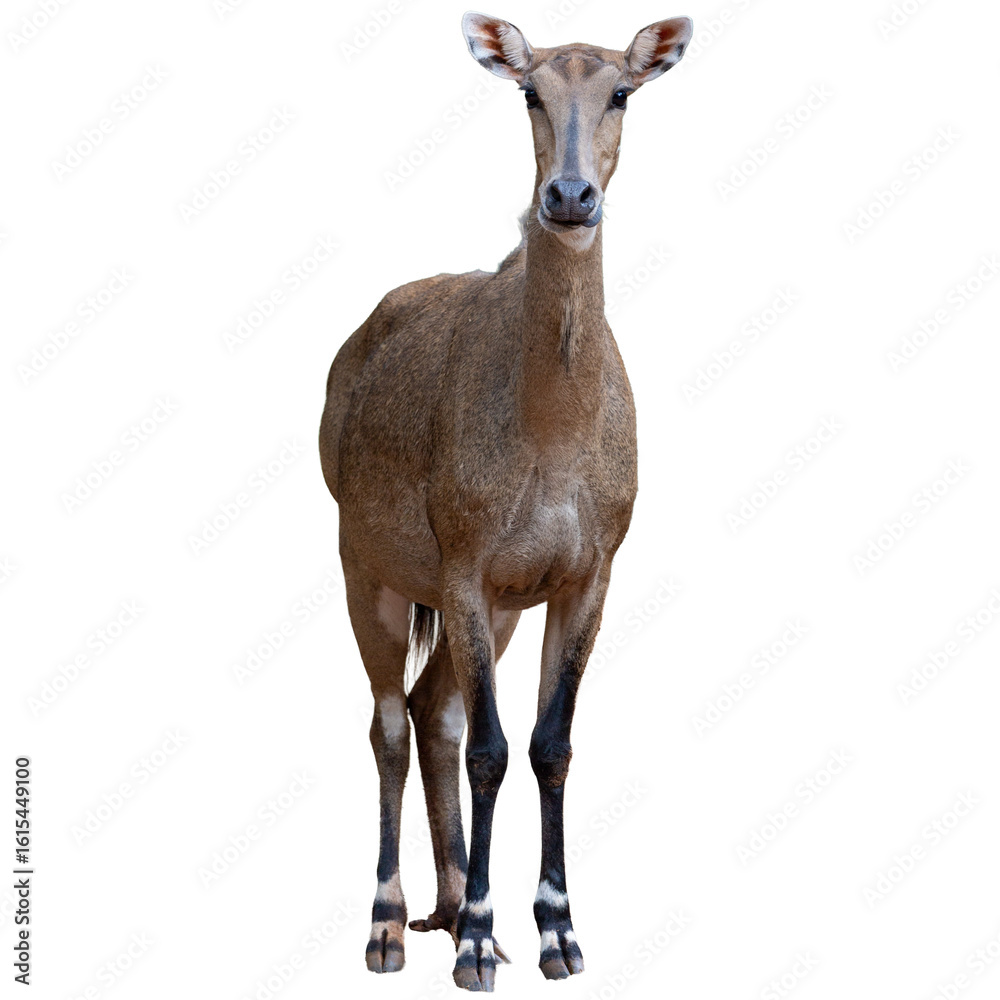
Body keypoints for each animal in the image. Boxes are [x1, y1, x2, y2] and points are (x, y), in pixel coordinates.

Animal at [318, 11, 692, 992]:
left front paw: (557, 932)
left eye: (621, 90)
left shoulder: (583, 573)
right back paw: (393, 924)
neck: (551, 434)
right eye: (530, 91)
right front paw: (482, 944)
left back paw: (449, 904)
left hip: (495, 604)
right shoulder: (464, 562)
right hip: (365, 562)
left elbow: (548, 743)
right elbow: (491, 748)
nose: (568, 196)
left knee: (433, 709)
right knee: (390, 720)